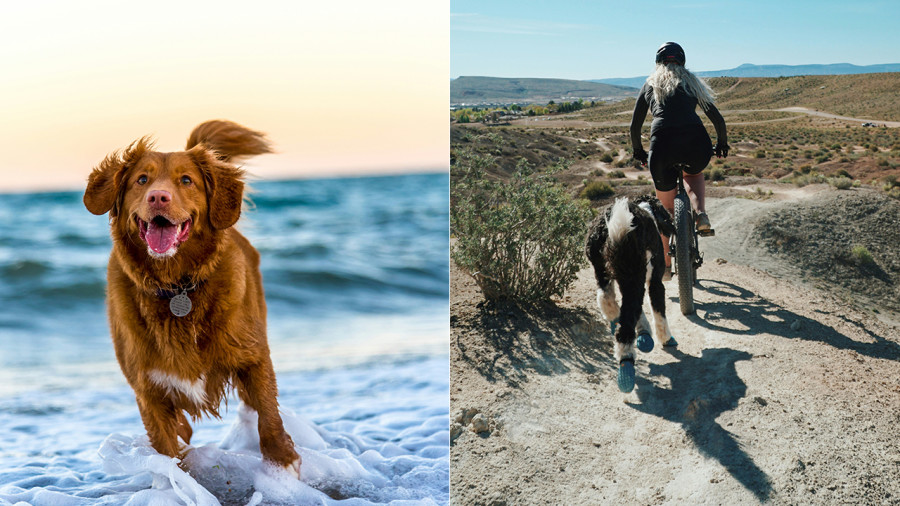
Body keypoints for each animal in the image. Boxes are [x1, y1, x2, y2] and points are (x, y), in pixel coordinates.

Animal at [82, 120, 298, 476]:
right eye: (142, 179)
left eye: (186, 180)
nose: (158, 196)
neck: (176, 286)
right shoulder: (148, 390)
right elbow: (168, 450)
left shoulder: (253, 356)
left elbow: (268, 414)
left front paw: (283, 461)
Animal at [588, 196, 680, 394]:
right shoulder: (655, 282)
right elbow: (658, 311)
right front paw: (666, 338)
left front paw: (645, 334)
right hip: (633, 274)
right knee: (626, 321)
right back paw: (626, 366)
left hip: (603, 270)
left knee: (607, 300)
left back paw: (616, 321)